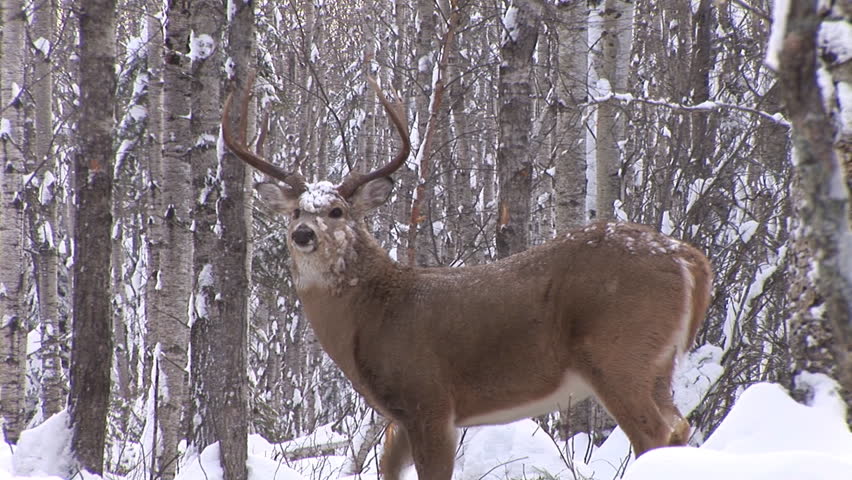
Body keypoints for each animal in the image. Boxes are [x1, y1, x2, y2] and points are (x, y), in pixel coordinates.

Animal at [221, 75, 713, 480]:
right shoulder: (401, 416)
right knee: (681, 428)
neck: (374, 313)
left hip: (619, 352)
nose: (303, 234)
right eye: (296, 211)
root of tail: (687, 257)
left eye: (337, 211)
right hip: (658, 362)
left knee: (655, 436)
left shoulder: (430, 398)